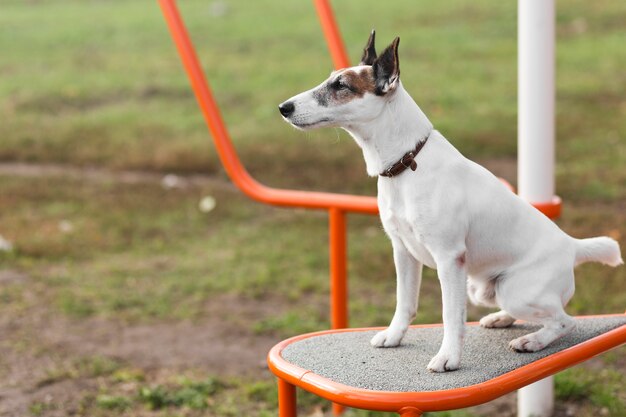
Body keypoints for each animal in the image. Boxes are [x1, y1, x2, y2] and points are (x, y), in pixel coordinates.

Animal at [278, 31, 620, 370]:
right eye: (331, 79)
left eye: (342, 86)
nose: (283, 107)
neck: (408, 162)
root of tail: (572, 246)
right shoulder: (403, 251)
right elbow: (405, 302)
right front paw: (394, 336)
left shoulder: (449, 258)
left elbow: (450, 316)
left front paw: (448, 358)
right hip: (485, 291)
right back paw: (501, 319)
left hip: (514, 290)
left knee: (564, 320)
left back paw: (531, 341)